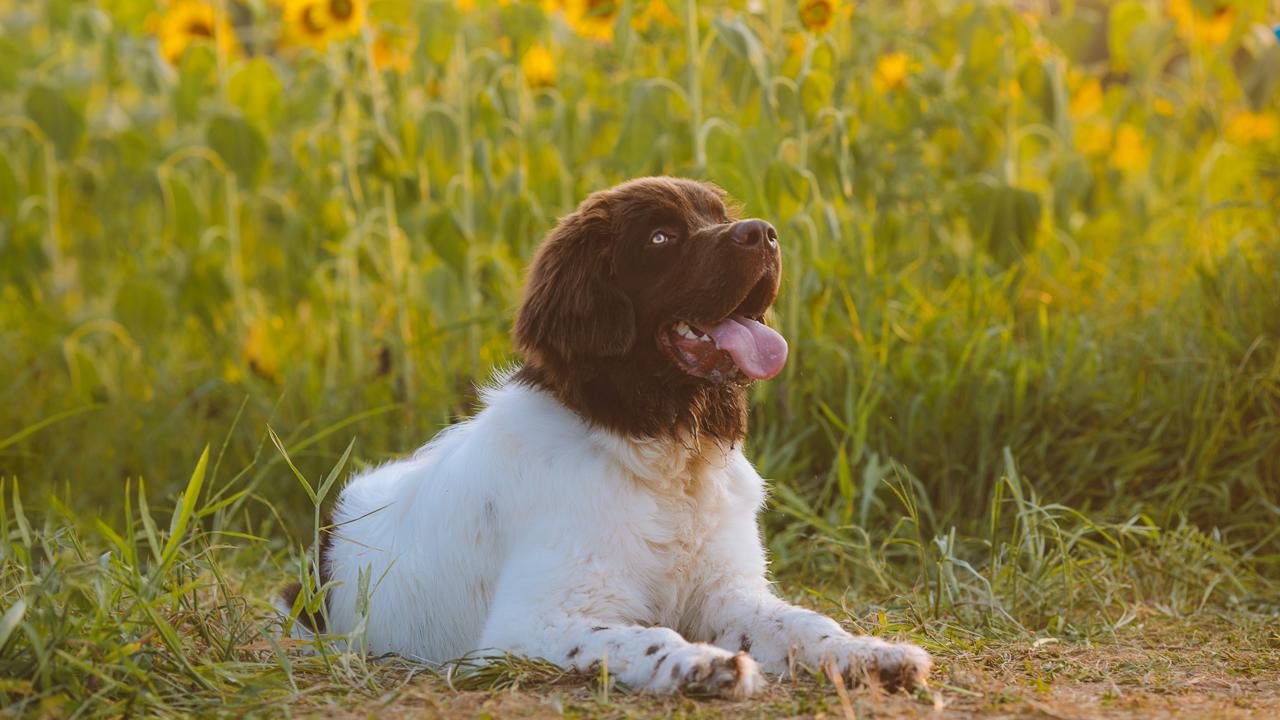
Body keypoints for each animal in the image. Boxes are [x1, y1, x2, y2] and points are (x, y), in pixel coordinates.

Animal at [282, 175, 931, 696]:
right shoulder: (530, 623)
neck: (665, 451)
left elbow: (804, 622)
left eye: (718, 215)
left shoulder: (728, 592)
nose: (765, 234)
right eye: (661, 239)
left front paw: (871, 654)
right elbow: (646, 637)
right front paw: (707, 667)